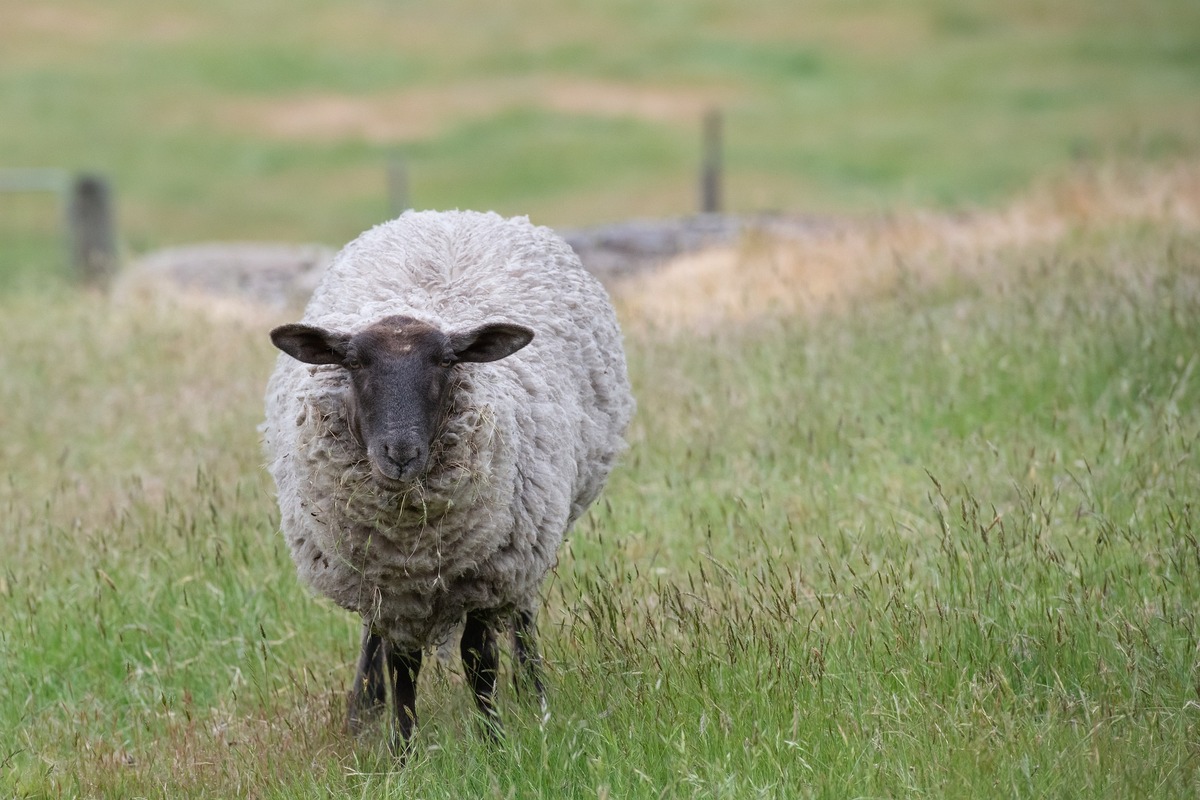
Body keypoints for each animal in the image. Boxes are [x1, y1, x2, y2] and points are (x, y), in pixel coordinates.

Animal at [262, 208, 638, 753]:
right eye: (352, 362)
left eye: (445, 361)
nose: (400, 453)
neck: (412, 541)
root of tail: (456, 214)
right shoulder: (390, 581)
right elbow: (402, 664)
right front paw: (401, 750)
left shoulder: (487, 572)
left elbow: (480, 660)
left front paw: (495, 743)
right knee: (374, 639)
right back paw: (362, 711)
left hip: (531, 535)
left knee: (521, 615)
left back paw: (535, 695)